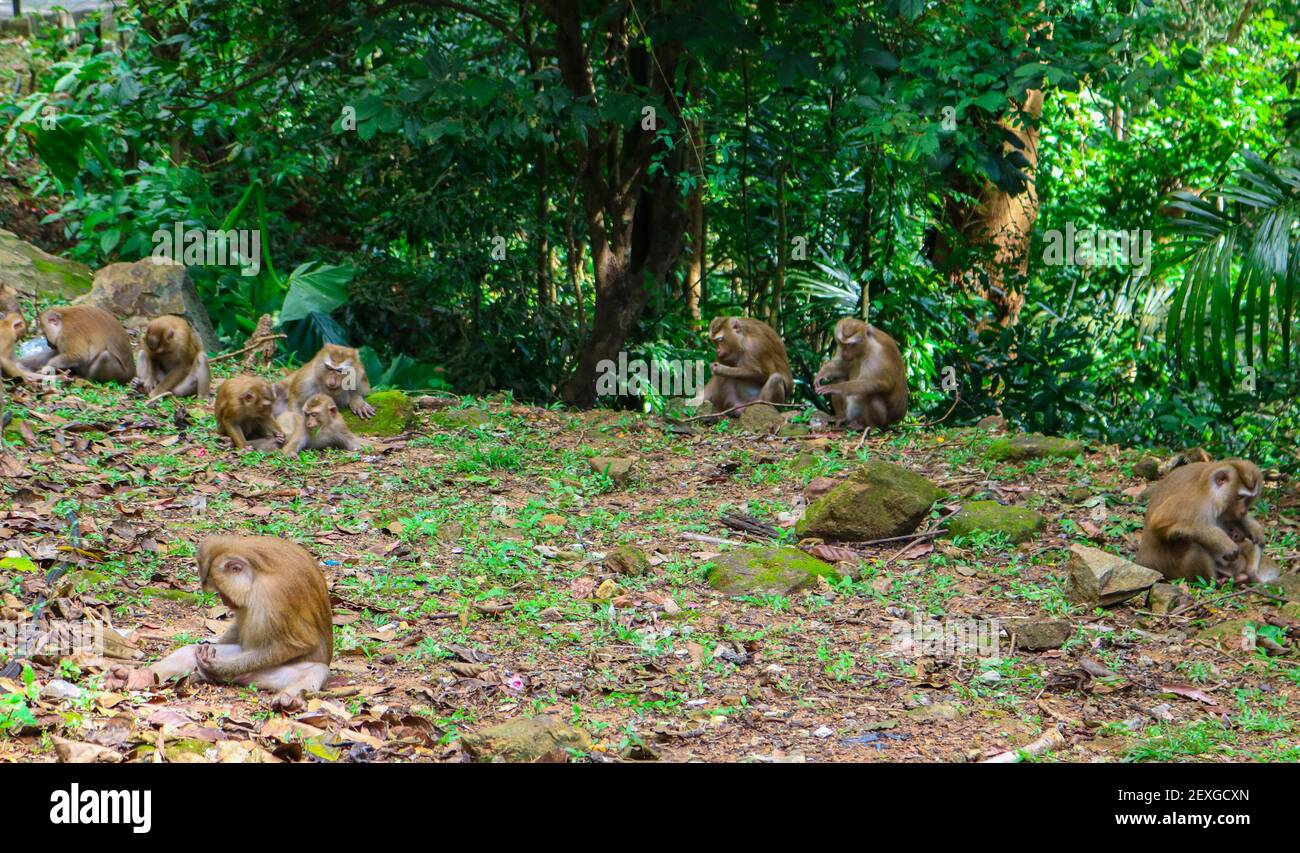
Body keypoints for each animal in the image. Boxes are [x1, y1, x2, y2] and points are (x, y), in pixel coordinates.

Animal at [111, 535, 333, 711]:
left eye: (221, 591)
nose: (226, 602)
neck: (259, 573)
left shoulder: (274, 596)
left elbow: (294, 645)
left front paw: (218, 668)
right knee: (189, 653)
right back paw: (134, 677)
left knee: (318, 669)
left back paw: (288, 698)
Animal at [1136, 458, 1281, 585]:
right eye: (1240, 497)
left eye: (1249, 499)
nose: (1243, 511)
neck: (1208, 490)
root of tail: (1144, 562)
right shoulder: (1192, 501)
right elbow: (1160, 522)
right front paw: (1222, 541)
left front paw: (1254, 528)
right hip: (1170, 568)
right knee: (1192, 545)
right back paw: (1215, 581)